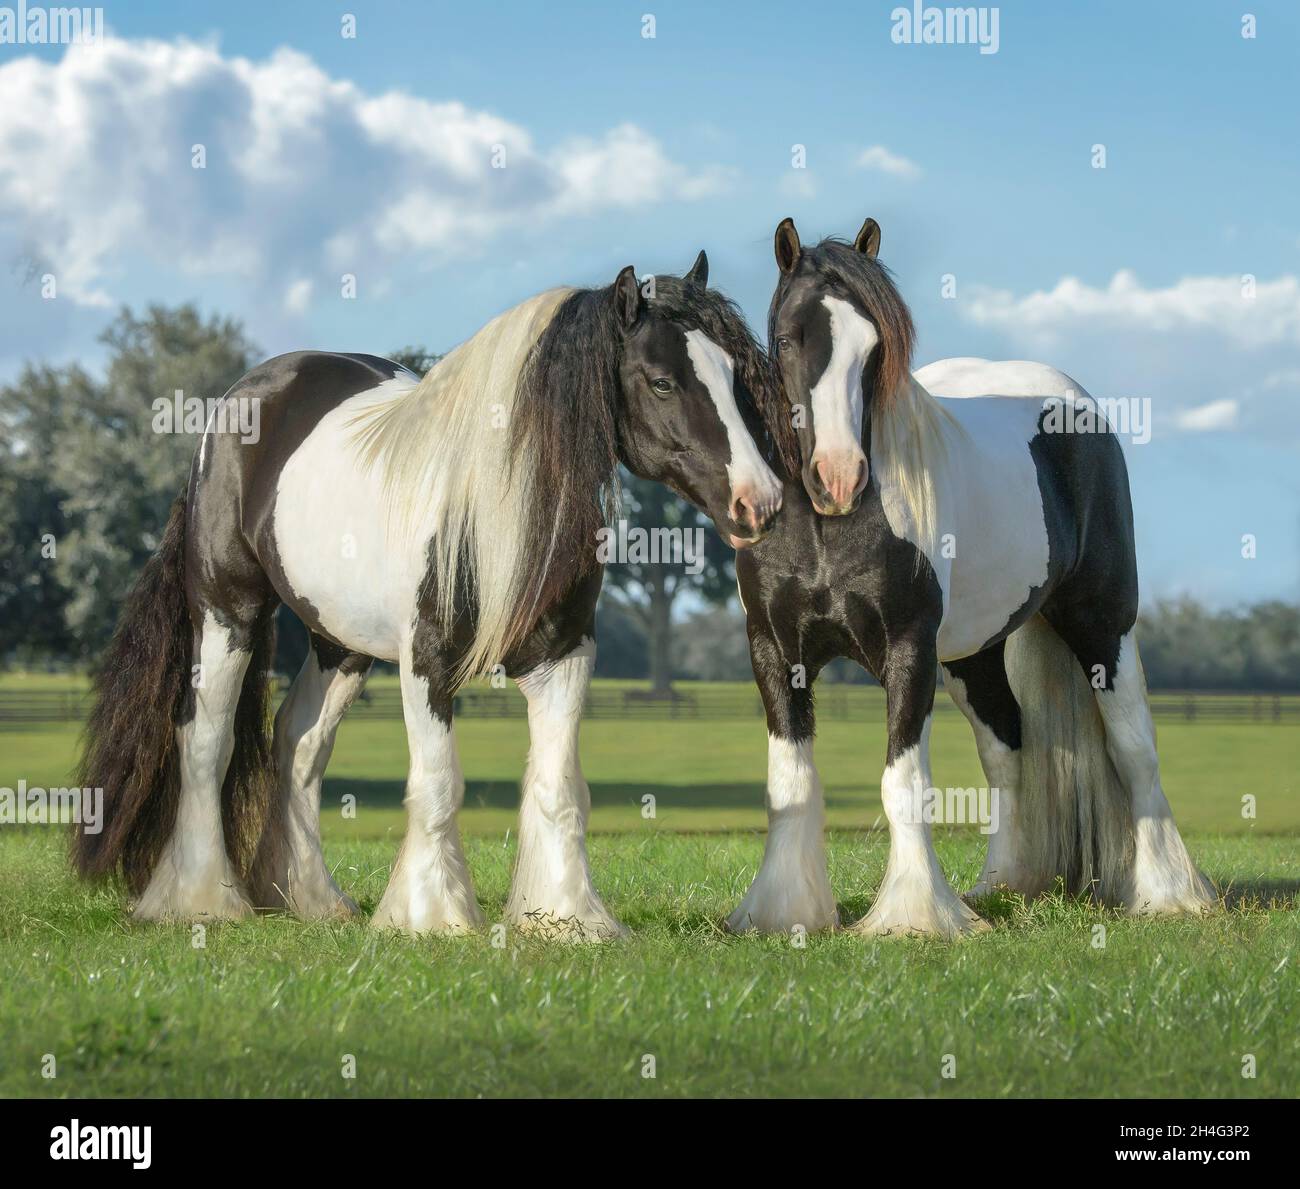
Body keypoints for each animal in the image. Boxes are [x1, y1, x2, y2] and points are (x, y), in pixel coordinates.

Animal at [74, 252, 785, 938]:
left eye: (734, 376)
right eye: (661, 380)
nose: (761, 502)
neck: (496, 505)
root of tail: (240, 401)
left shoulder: (564, 658)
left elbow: (558, 787)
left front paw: (566, 919)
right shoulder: (426, 664)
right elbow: (439, 783)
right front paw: (433, 917)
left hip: (340, 644)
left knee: (300, 744)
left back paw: (310, 901)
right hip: (229, 614)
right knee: (205, 741)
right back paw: (202, 903)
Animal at [727, 215, 1215, 937]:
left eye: (875, 348)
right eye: (789, 339)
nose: (839, 476)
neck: (827, 529)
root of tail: (1074, 404)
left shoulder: (908, 650)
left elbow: (903, 783)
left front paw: (913, 916)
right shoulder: (775, 649)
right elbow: (791, 781)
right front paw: (782, 912)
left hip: (1103, 626)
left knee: (1135, 750)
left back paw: (1166, 893)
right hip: (970, 655)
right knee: (1007, 748)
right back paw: (1001, 884)